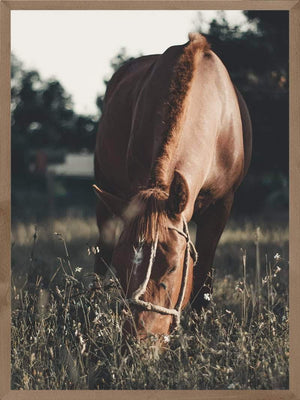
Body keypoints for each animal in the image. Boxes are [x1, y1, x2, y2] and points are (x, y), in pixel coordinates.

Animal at [92, 33, 252, 340]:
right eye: (121, 265)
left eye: (174, 266)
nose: (140, 341)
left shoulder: (221, 207)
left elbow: (203, 279)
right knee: (100, 255)